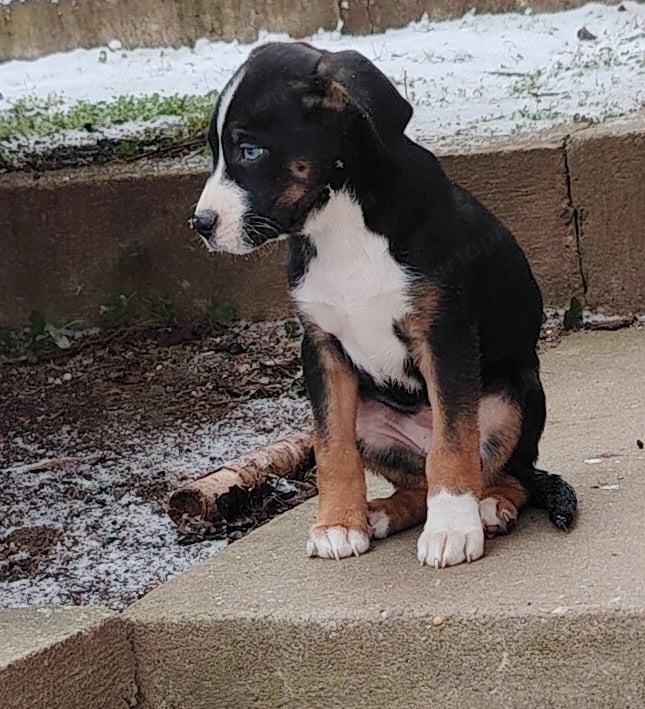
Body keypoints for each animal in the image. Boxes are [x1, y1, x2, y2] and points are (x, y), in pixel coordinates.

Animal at [189, 42, 576, 564]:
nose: (201, 224)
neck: (340, 223)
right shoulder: (321, 347)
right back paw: (383, 512)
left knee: (504, 472)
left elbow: (454, 441)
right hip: (370, 418)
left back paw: (489, 508)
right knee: (418, 480)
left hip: (511, 400)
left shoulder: (445, 334)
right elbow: (331, 448)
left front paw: (452, 528)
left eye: (250, 151)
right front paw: (337, 523)